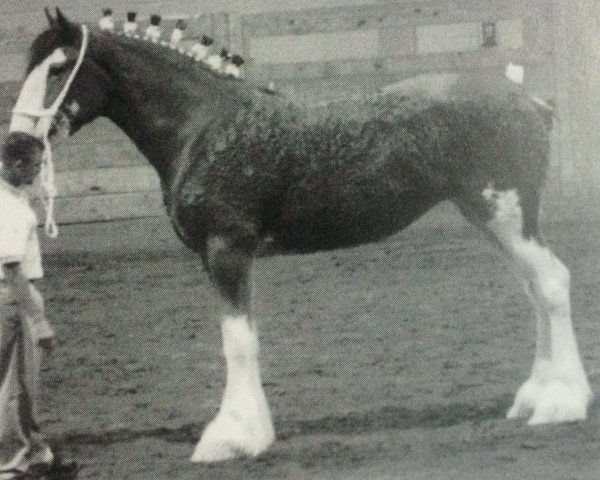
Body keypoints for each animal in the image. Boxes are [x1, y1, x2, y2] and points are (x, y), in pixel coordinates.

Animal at [3, 8, 592, 464]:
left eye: (59, 67)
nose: (18, 149)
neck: (202, 126)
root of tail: (530, 99)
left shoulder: (227, 252)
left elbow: (238, 342)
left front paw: (233, 438)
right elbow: (244, 338)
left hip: (506, 215)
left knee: (552, 283)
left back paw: (562, 403)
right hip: (490, 218)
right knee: (535, 290)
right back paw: (536, 397)